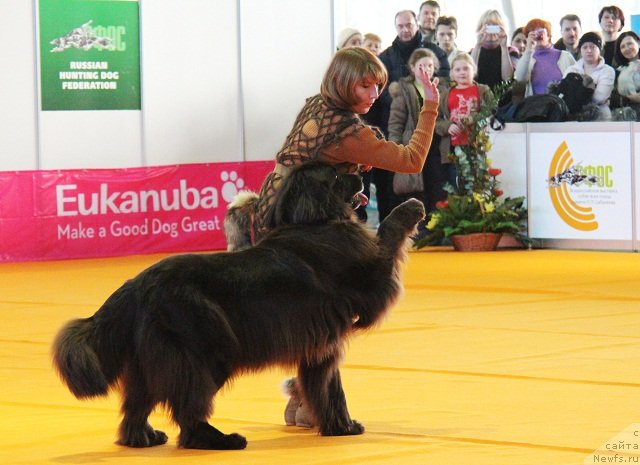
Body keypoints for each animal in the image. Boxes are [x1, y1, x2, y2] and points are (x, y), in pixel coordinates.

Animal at [52, 162, 424, 450]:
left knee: (136, 406)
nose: (363, 174)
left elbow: (328, 389)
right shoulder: (371, 281)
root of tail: (138, 284)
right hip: (207, 350)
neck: (315, 222)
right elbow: (387, 235)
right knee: (188, 410)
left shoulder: (321, 345)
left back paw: (143, 437)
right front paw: (409, 208)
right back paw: (218, 439)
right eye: (335, 174)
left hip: (150, 361)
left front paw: (341, 427)